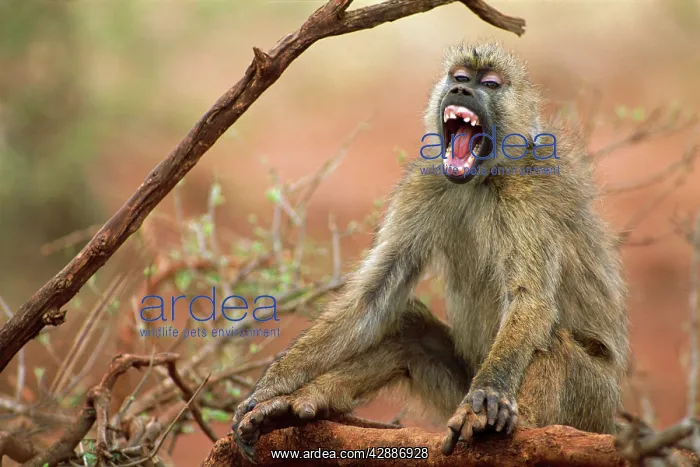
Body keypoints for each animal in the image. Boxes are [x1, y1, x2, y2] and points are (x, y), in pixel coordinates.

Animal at [231, 41, 628, 460]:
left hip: (592, 402)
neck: (481, 181)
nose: (461, 90)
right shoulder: (424, 183)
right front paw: (269, 389)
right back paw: (302, 403)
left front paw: (487, 399)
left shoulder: (527, 195)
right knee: (411, 331)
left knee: (553, 340)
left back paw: (515, 426)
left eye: (490, 83)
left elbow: (530, 300)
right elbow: (371, 295)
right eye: (460, 77)